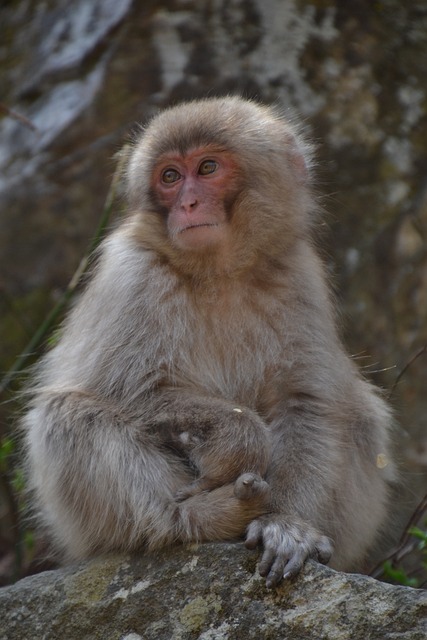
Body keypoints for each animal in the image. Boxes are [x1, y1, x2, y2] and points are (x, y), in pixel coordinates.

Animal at [23, 97, 396, 588]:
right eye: (169, 176)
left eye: (207, 167)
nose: (188, 202)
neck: (218, 272)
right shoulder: (132, 275)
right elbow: (129, 389)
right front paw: (242, 441)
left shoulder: (299, 276)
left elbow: (307, 403)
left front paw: (287, 525)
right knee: (66, 415)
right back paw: (201, 517)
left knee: (360, 415)